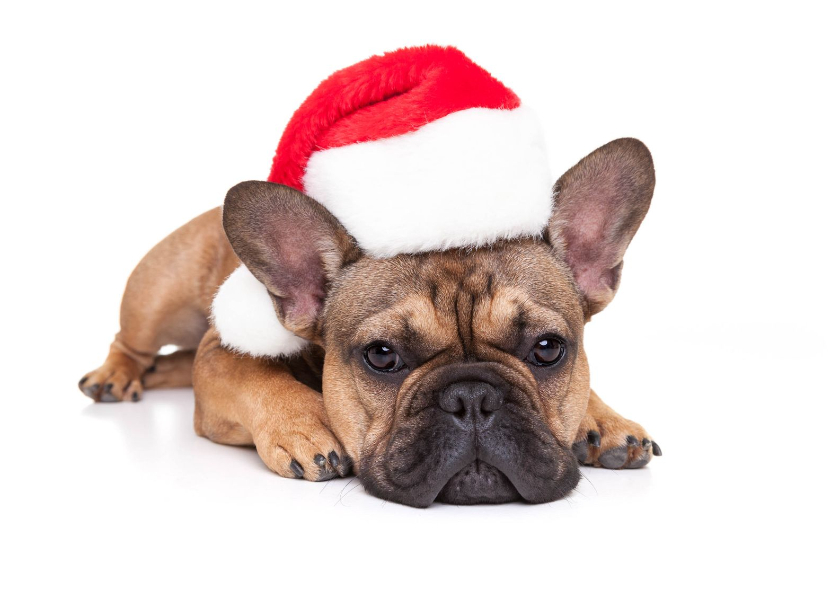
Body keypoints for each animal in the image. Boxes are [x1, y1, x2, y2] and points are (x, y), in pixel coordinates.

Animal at [77, 136, 656, 508]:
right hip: (157, 296)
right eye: (382, 356)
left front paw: (603, 421)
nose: (472, 397)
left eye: (548, 348)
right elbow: (254, 374)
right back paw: (114, 375)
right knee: (133, 342)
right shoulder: (220, 356)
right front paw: (305, 425)